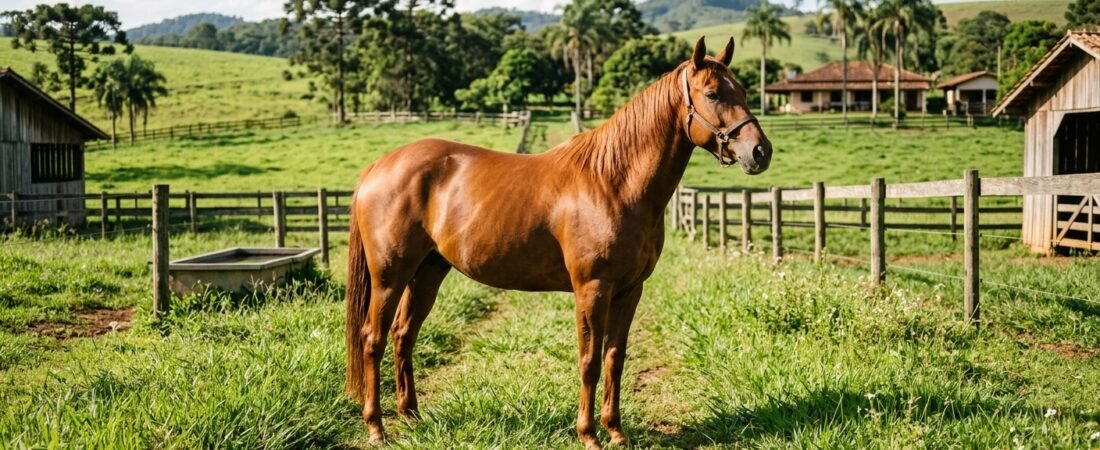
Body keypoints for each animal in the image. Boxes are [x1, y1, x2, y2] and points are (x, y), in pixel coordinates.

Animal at [345, 36, 771, 449]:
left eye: (743, 90)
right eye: (713, 93)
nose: (760, 151)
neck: (613, 182)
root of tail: (377, 167)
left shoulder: (630, 290)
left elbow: (615, 358)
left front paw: (616, 432)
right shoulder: (592, 289)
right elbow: (589, 360)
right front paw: (589, 434)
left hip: (428, 272)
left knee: (404, 335)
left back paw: (411, 417)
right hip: (389, 277)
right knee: (373, 339)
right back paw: (377, 427)